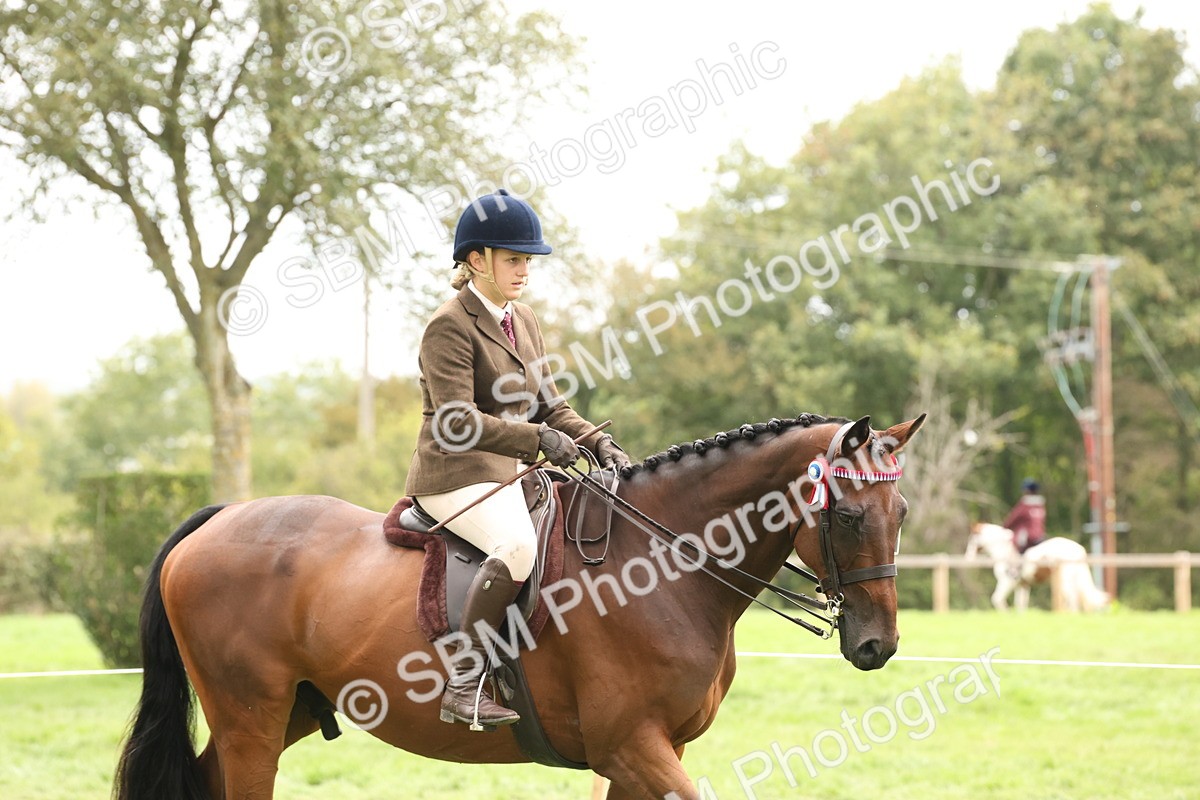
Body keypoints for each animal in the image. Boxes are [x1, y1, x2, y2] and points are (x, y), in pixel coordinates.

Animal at [113, 412, 925, 800]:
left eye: (904, 511)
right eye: (850, 514)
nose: (878, 644)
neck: (665, 566)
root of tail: (216, 520)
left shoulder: (646, 753)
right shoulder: (632, 745)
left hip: (287, 713)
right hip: (251, 719)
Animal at [966, 522, 1109, 612]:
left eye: (972, 539)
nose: (968, 557)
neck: (1003, 551)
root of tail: (1078, 549)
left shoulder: (1007, 581)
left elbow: (997, 599)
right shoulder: (1022, 585)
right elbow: (1020, 604)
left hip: (1064, 581)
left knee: (1071, 600)